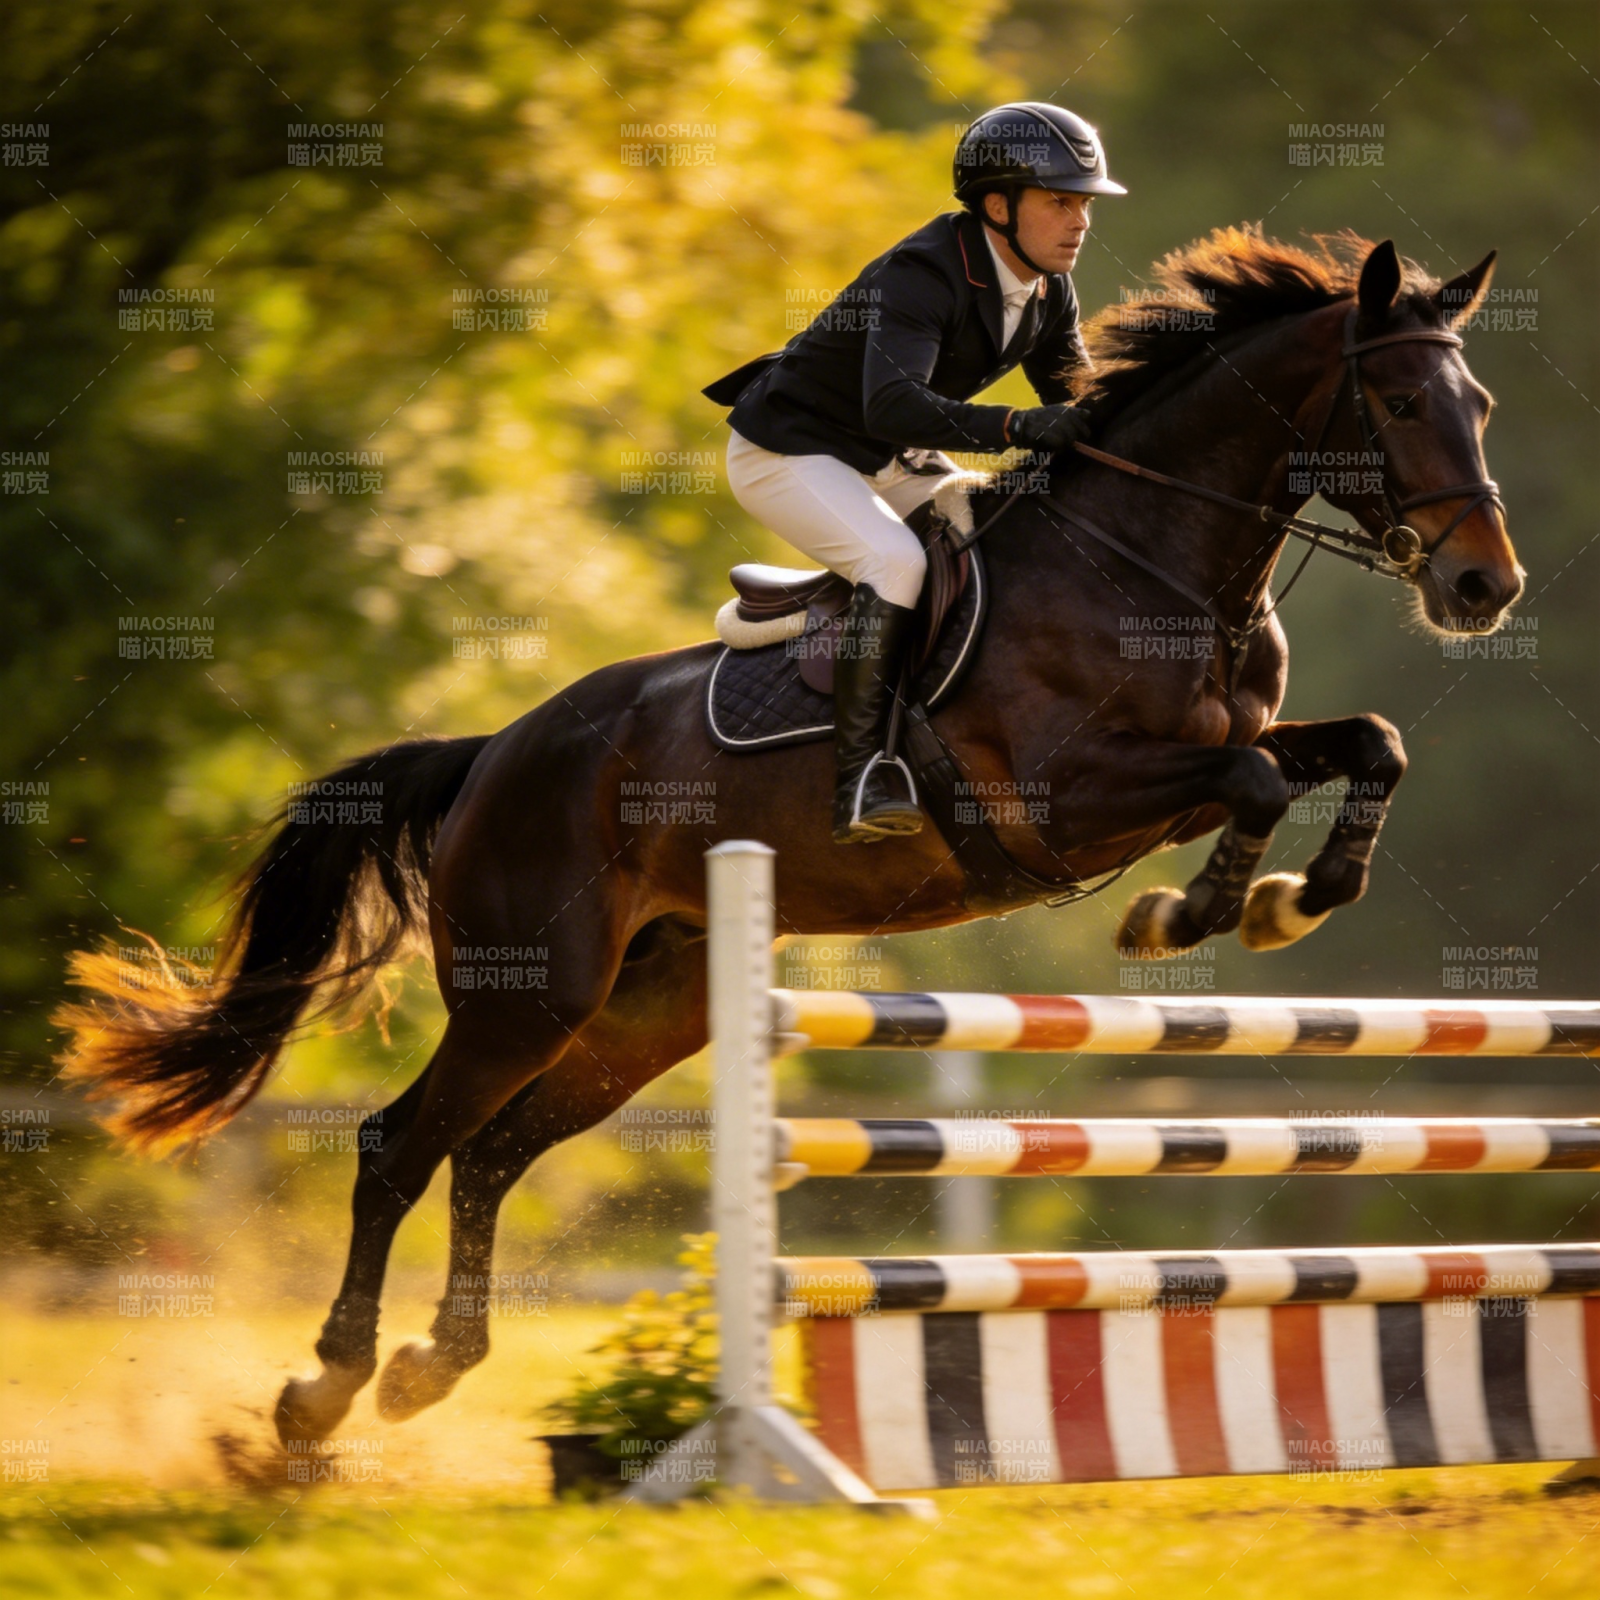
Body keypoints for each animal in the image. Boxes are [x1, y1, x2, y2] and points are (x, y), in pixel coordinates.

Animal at [55, 227, 1521, 1449]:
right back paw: (325, 1388)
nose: (1482, 586)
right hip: (528, 992)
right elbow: (1254, 780)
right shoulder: (1062, 802)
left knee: (490, 1154)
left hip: (650, 1010)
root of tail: (490, 753)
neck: (1153, 559)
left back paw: (432, 1366)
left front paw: (1293, 898)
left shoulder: (1217, 755)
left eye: (1481, 406)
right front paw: (1193, 912)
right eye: (1398, 404)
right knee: (398, 1148)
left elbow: (1364, 745)